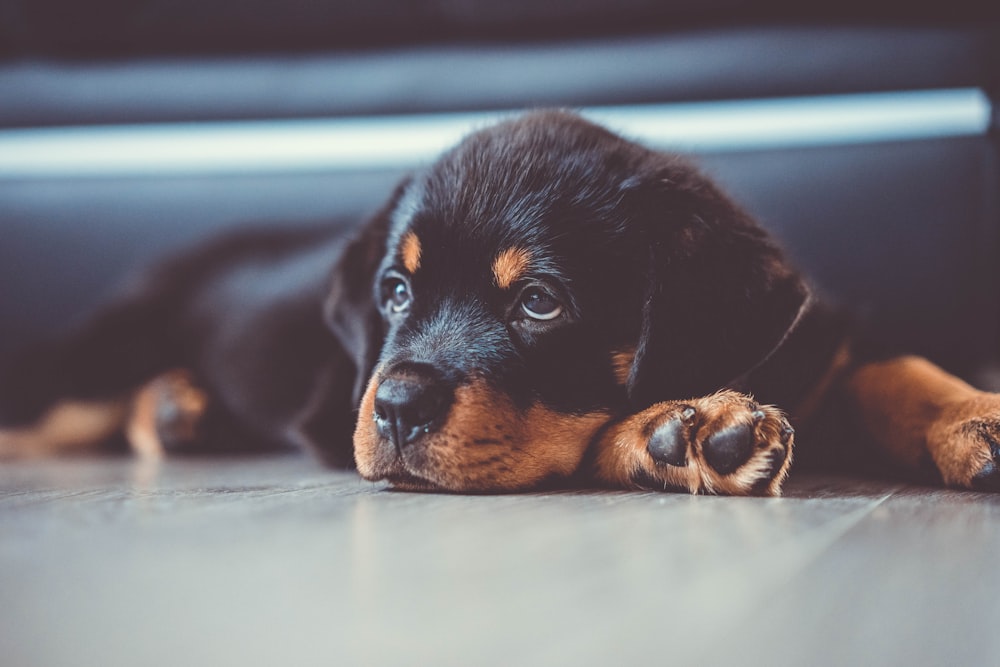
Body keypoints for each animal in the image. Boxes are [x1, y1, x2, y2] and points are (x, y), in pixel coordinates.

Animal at [1, 111, 1000, 496]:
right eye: (396, 291)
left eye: (541, 303)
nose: (396, 407)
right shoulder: (339, 412)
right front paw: (679, 431)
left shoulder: (822, 340)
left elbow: (895, 368)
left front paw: (973, 414)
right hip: (85, 366)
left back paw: (182, 411)